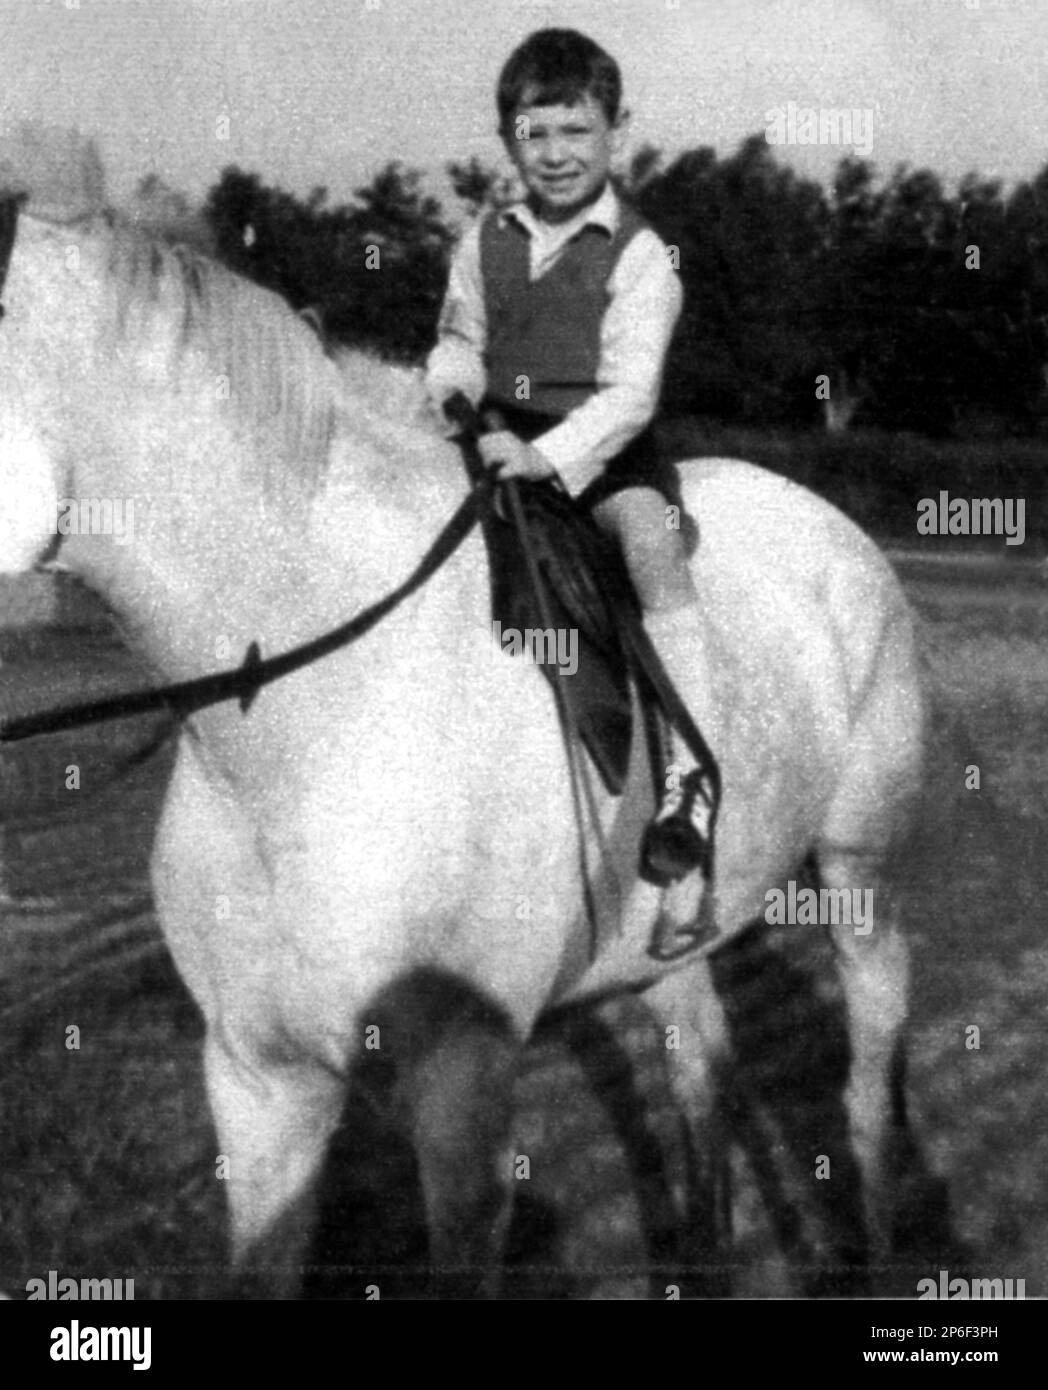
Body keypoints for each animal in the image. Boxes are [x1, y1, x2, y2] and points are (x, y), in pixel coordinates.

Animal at [4, 157, 922, 1295]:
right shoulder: (257, 1081)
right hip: (668, 942)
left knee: (869, 1060)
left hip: (859, 871)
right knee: (700, 1063)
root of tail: (835, 527)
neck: (303, 735)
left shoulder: (462, 1087)